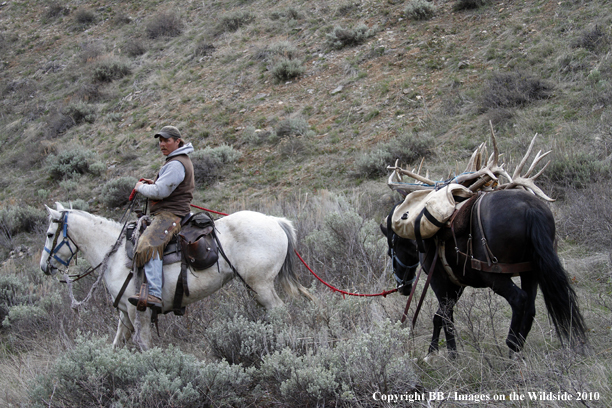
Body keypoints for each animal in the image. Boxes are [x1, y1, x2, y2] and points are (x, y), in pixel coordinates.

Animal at [40, 202, 314, 350]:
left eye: (50, 233)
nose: (44, 267)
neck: (116, 256)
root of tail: (275, 221)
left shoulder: (138, 311)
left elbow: (145, 344)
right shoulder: (124, 315)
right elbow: (117, 346)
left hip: (262, 286)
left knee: (279, 311)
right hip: (257, 287)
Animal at [382, 190, 588, 356]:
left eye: (390, 251)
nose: (403, 288)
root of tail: (530, 209)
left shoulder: (439, 281)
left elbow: (446, 317)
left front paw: (451, 355)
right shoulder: (457, 284)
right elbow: (439, 317)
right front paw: (432, 352)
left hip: (495, 277)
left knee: (519, 299)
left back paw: (511, 347)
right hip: (530, 272)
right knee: (530, 307)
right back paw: (518, 349)